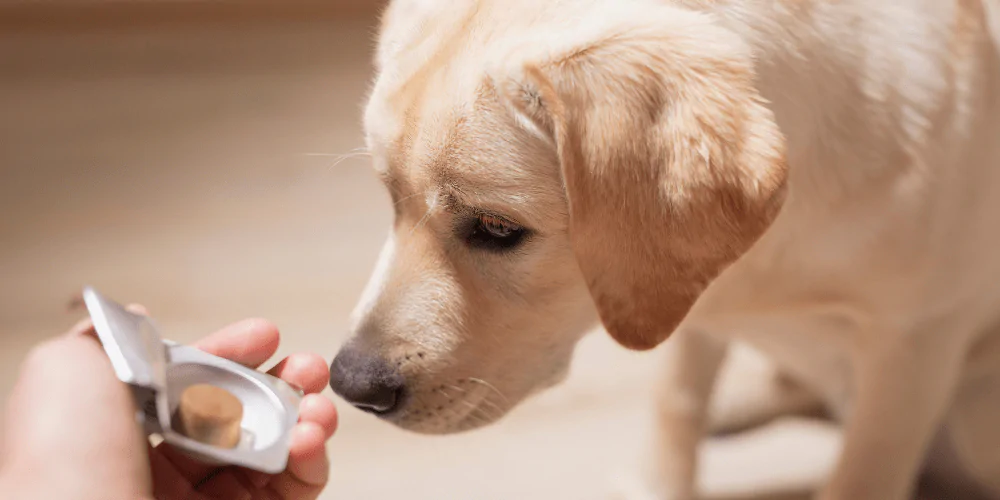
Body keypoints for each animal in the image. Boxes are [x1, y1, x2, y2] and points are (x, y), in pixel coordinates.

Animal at [328, 1, 1000, 498]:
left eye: (495, 227)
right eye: (391, 200)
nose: (349, 385)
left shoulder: (913, 344)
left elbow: (864, 468)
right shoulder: (685, 306)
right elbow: (674, 404)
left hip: (972, 423)